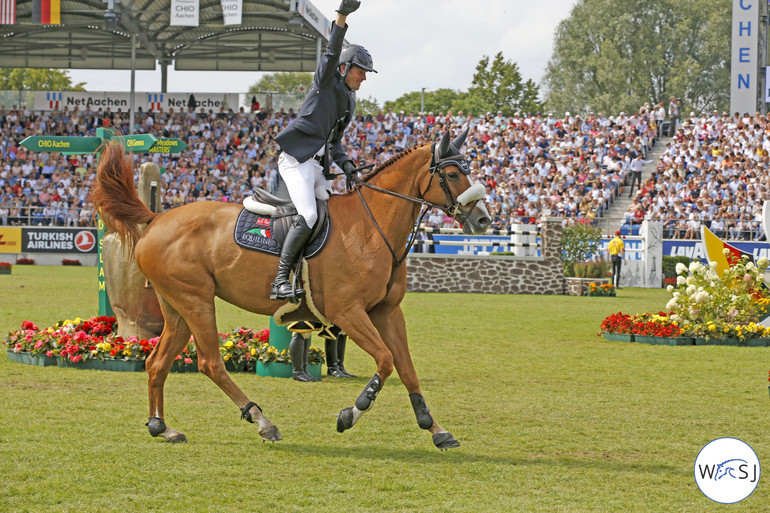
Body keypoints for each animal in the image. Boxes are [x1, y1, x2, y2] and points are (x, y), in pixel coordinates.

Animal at [93, 129, 488, 448]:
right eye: (453, 173)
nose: (483, 220)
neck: (371, 226)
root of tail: (157, 217)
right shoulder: (347, 311)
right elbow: (386, 361)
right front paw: (350, 414)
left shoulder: (386, 311)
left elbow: (406, 367)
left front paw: (435, 428)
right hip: (196, 300)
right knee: (210, 362)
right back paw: (262, 421)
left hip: (175, 307)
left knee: (157, 363)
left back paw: (162, 428)